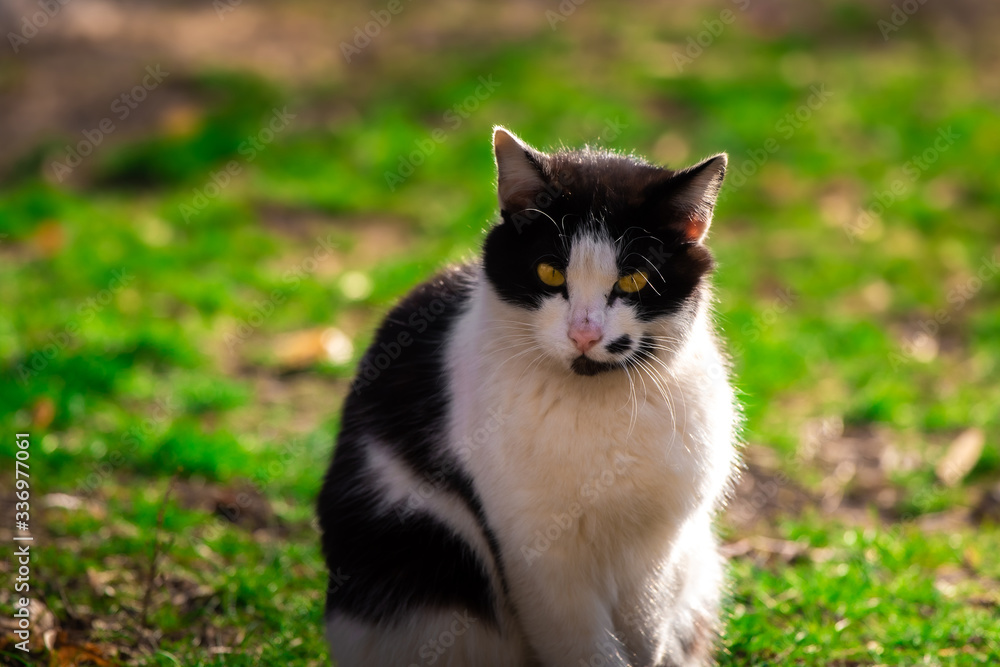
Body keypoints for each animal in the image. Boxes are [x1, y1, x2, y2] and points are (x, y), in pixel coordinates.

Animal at [316, 126, 740, 667]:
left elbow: (646, 640)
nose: (584, 334)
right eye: (550, 274)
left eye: (633, 280)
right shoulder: (540, 560)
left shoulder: (655, 553)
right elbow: (587, 651)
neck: (597, 408)